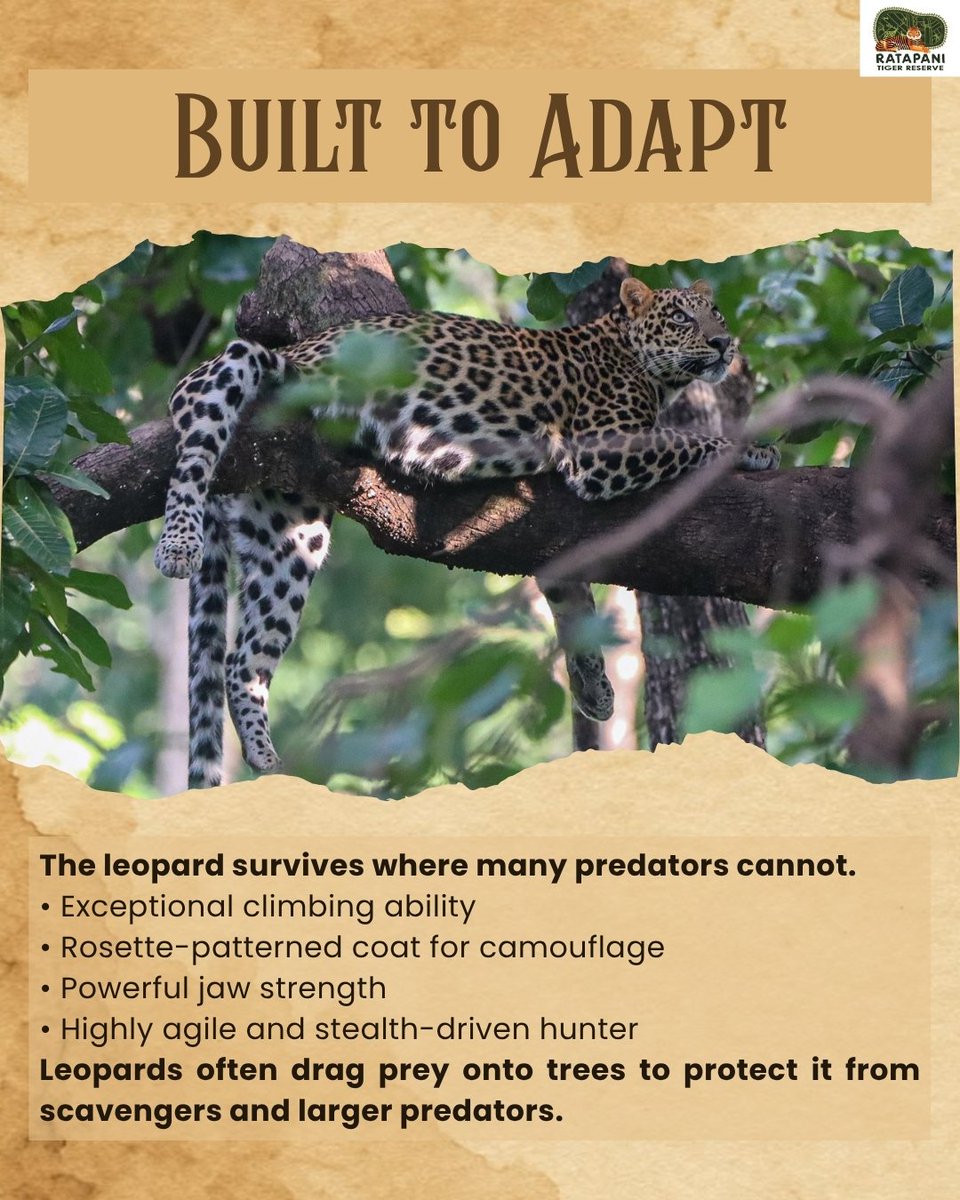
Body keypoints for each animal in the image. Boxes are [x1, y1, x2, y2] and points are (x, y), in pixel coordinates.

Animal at [154, 275, 780, 788]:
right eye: (681, 317)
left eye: (717, 315)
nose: (724, 345)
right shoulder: (601, 451)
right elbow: (685, 439)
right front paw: (754, 450)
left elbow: (569, 595)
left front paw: (595, 689)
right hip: (240, 369)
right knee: (194, 437)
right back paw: (178, 544)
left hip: (289, 533)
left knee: (242, 660)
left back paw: (265, 756)